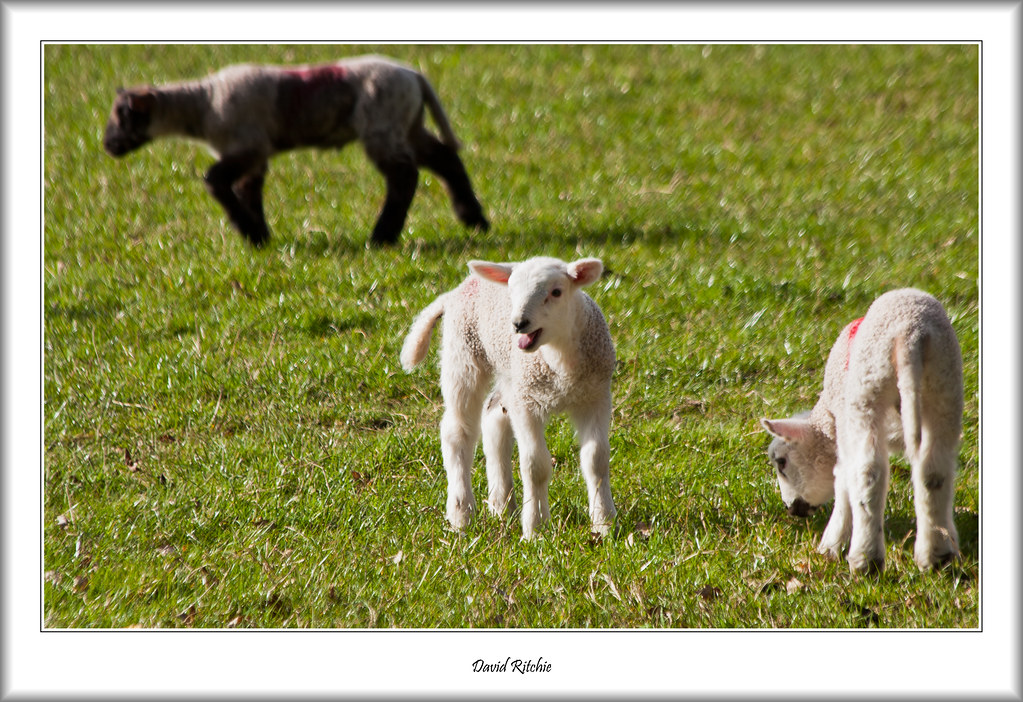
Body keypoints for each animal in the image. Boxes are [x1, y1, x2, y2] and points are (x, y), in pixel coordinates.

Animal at [102, 55, 489, 248]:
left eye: (122, 116)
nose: (107, 146)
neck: (202, 104)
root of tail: (415, 76)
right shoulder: (254, 154)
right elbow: (248, 190)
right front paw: (259, 236)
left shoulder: (249, 144)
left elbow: (215, 180)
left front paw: (249, 231)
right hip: (408, 124)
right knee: (446, 159)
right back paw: (474, 219)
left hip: (383, 124)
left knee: (404, 176)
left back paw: (382, 236)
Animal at [400, 256, 617, 538]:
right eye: (511, 291)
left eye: (556, 292)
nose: (518, 324)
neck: (560, 363)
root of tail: (457, 289)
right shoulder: (527, 402)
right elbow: (535, 466)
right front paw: (536, 529)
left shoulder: (596, 396)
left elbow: (596, 460)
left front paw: (604, 524)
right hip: (463, 356)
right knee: (457, 432)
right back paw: (461, 514)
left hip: (509, 375)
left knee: (494, 416)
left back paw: (502, 504)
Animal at [760, 288, 964, 573]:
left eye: (781, 462)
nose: (791, 509)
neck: (828, 419)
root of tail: (911, 334)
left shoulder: (845, 427)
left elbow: (843, 478)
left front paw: (830, 545)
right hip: (944, 388)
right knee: (934, 471)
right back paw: (937, 555)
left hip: (867, 392)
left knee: (869, 472)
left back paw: (865, 560)